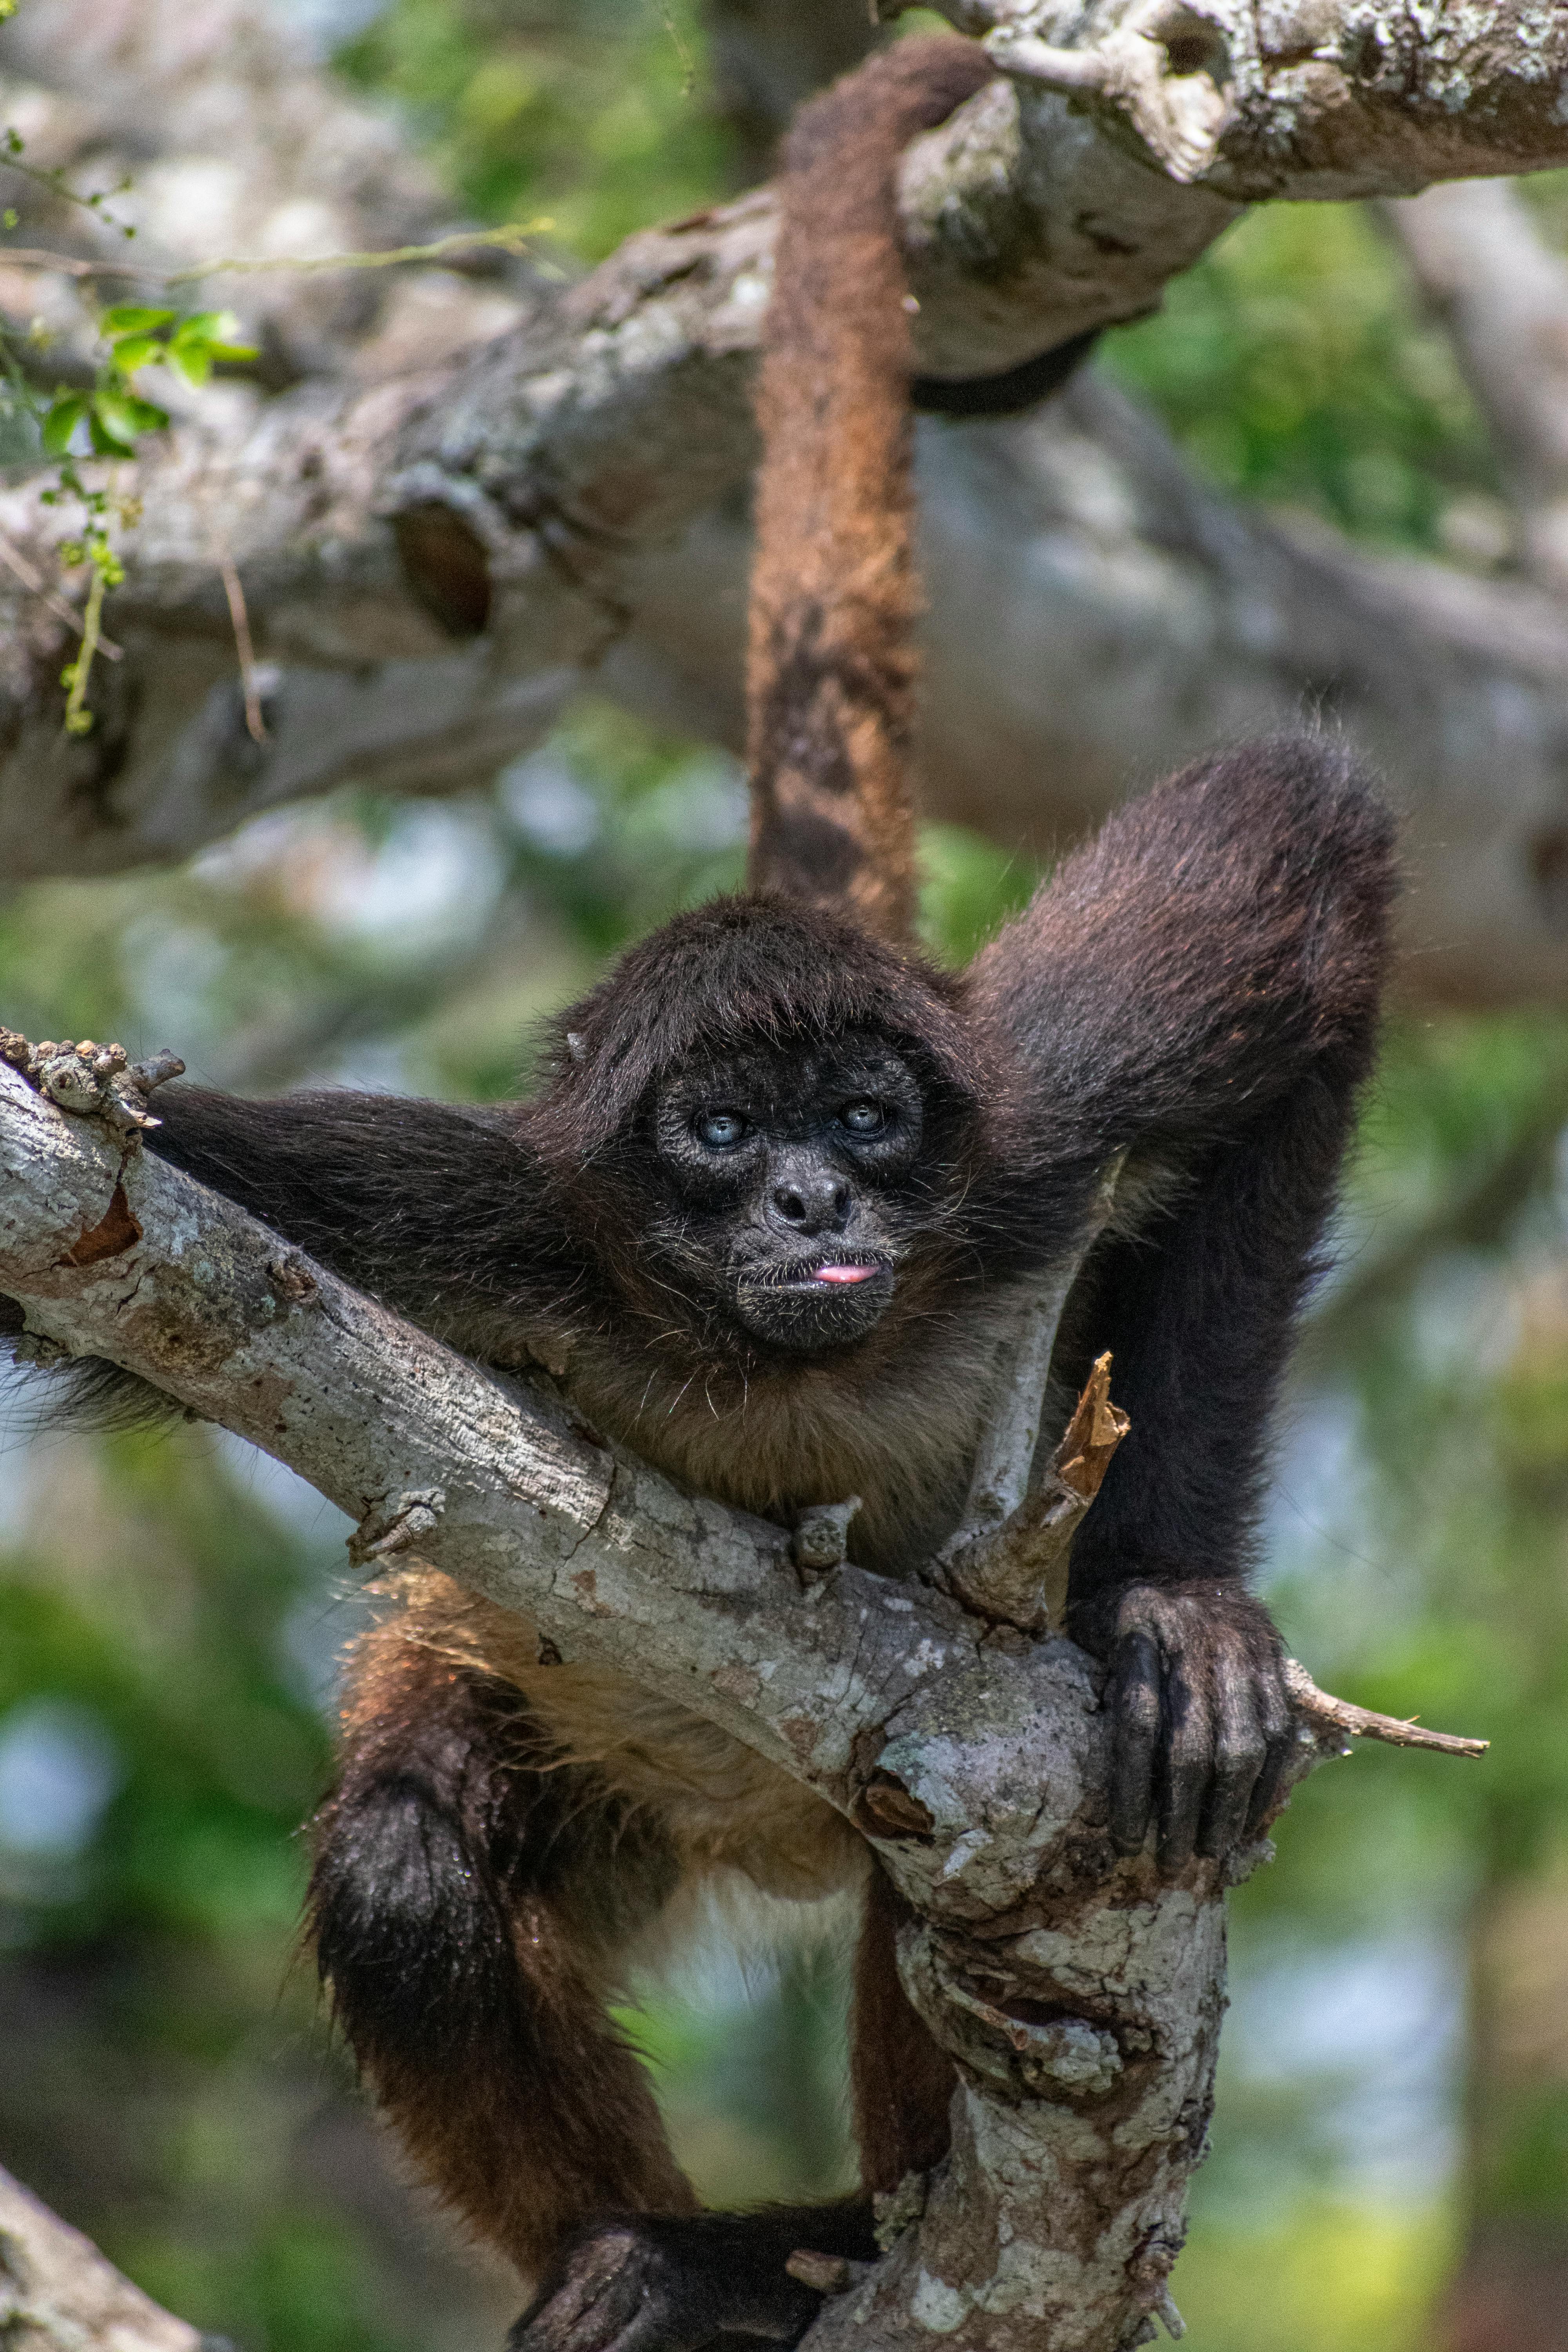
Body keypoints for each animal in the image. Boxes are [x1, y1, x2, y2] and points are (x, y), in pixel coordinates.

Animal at [0, 36, 1401, 2352]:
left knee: (952, 1908)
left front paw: (1168, 1603)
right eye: (720, 1139)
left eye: (861, 1114)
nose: (810, 1204)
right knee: (408, 1856)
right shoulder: (462, 1214)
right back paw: (667, 2258)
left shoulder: (1030, 1115)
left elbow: (1306, 849)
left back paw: (855, 2214)